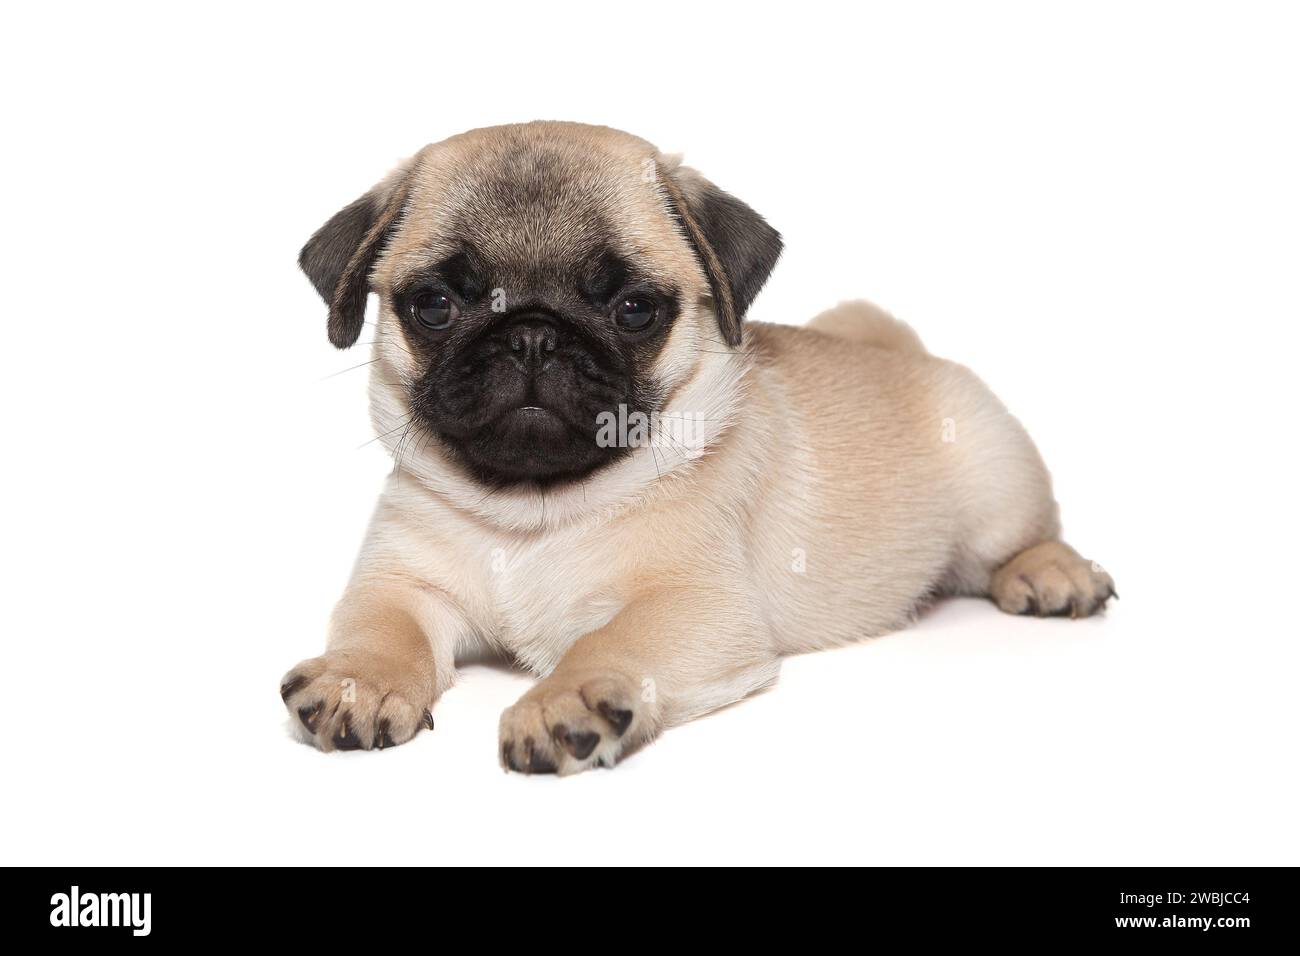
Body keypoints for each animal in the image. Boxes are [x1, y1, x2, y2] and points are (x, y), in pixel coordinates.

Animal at [282, 121, 1118, 780]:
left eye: (634, 309)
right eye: (433, 305)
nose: (531, 335)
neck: (532, 508)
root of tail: (897, 350)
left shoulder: (693, 604)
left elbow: (611, 639)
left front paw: (567, 699)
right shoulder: (400, 585)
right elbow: (382, 630)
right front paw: (359, 681)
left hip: (991, 481)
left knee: (1022, 535)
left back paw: (1050, 573)